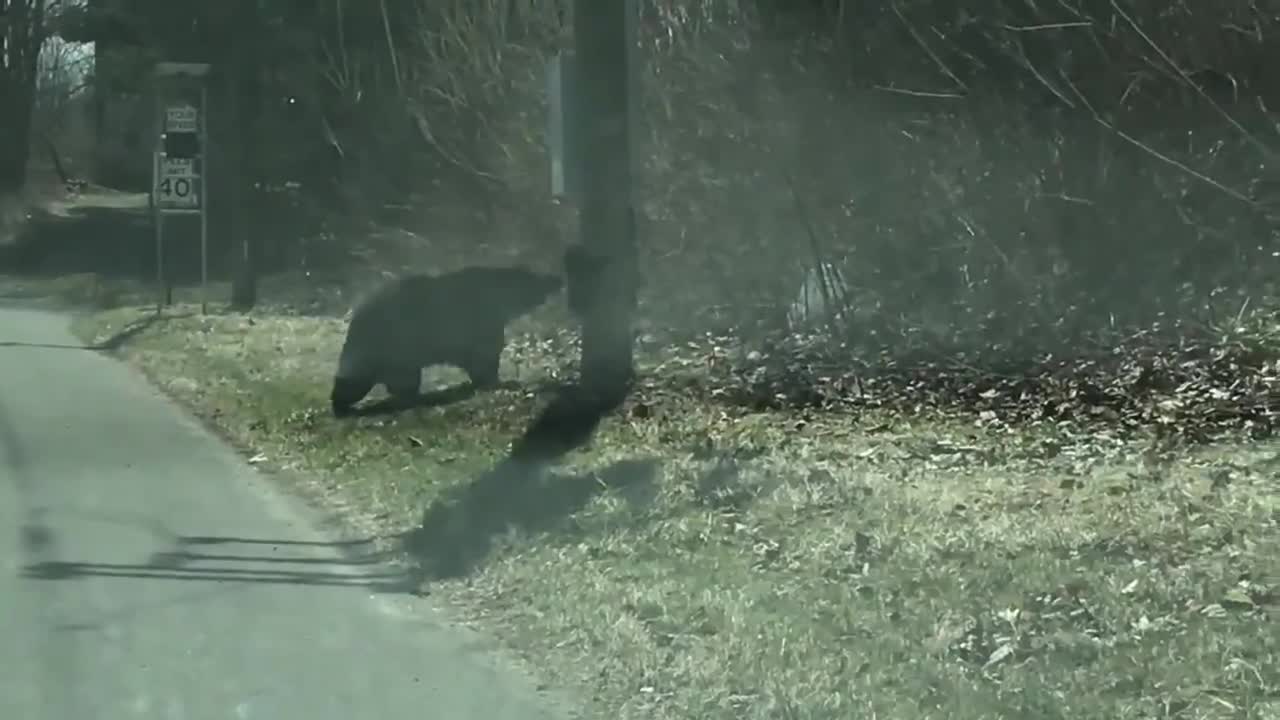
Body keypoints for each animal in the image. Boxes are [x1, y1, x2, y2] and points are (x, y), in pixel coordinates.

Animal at [332, 265, 563, 415]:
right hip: (392, 341)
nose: (556, 279)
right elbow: (484, 356)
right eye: (536, 280)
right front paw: (498, 381)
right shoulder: (480, 320)